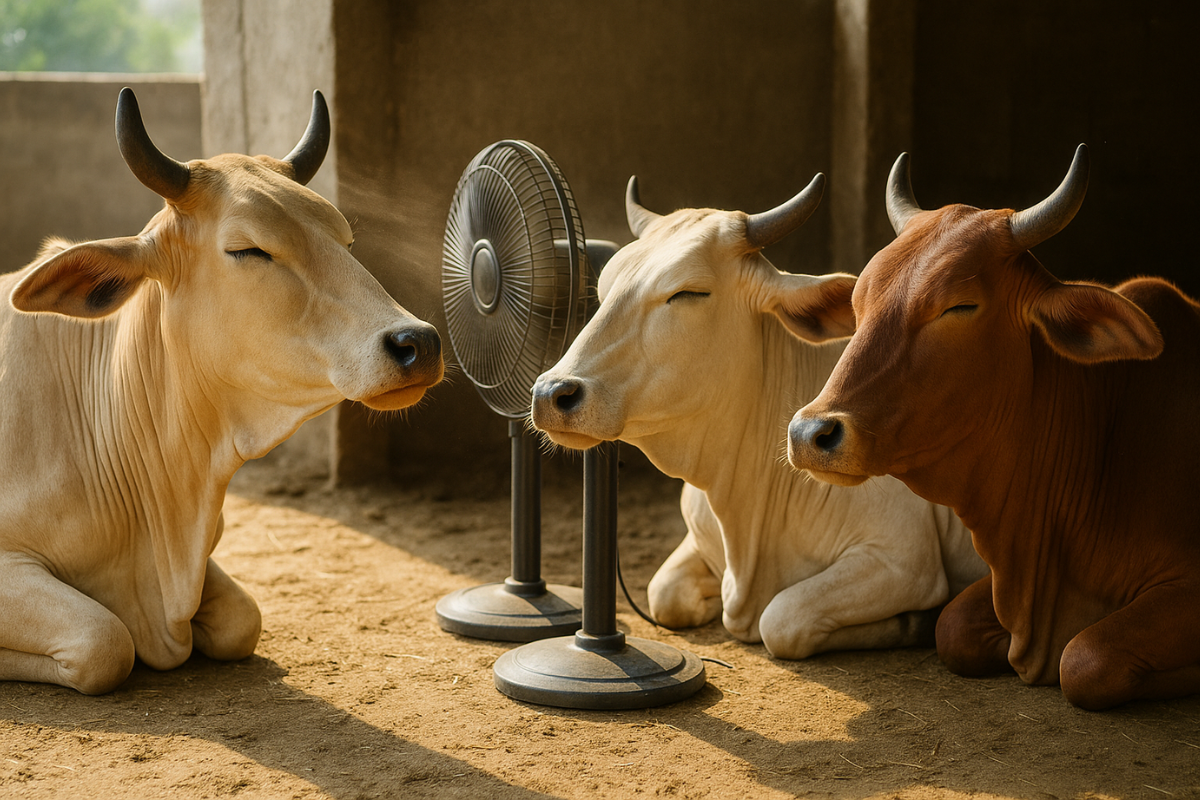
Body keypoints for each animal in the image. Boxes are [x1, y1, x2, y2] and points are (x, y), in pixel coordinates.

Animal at [530, 175, 986, 658]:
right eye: (602, 291)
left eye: (688, 292)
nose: (551, 393)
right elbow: (665, 594)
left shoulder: (902, 560)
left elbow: (781, 620)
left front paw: (915, 622)